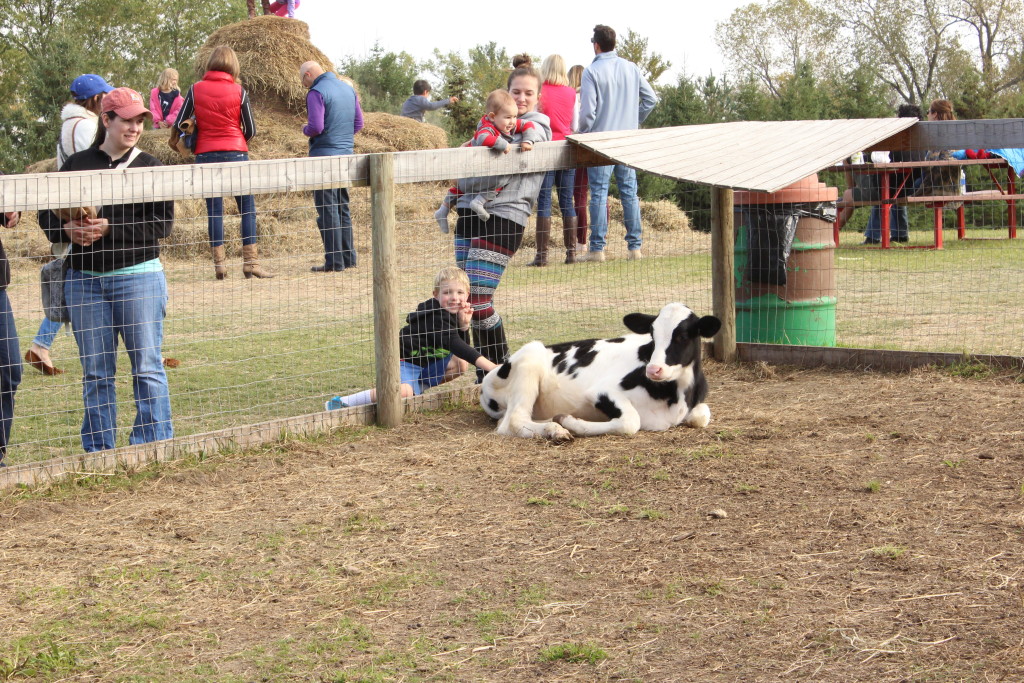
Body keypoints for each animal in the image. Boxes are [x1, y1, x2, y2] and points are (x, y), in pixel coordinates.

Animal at [483, 303, 724, 440]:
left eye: (682, 336)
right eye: (652, 335)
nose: (654, 369)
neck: (676, 397)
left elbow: (702, 415)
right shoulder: (602, 391)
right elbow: (630, 422)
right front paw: (571, 423)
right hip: (529, 361)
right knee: (513, 421)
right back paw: (555, 429)